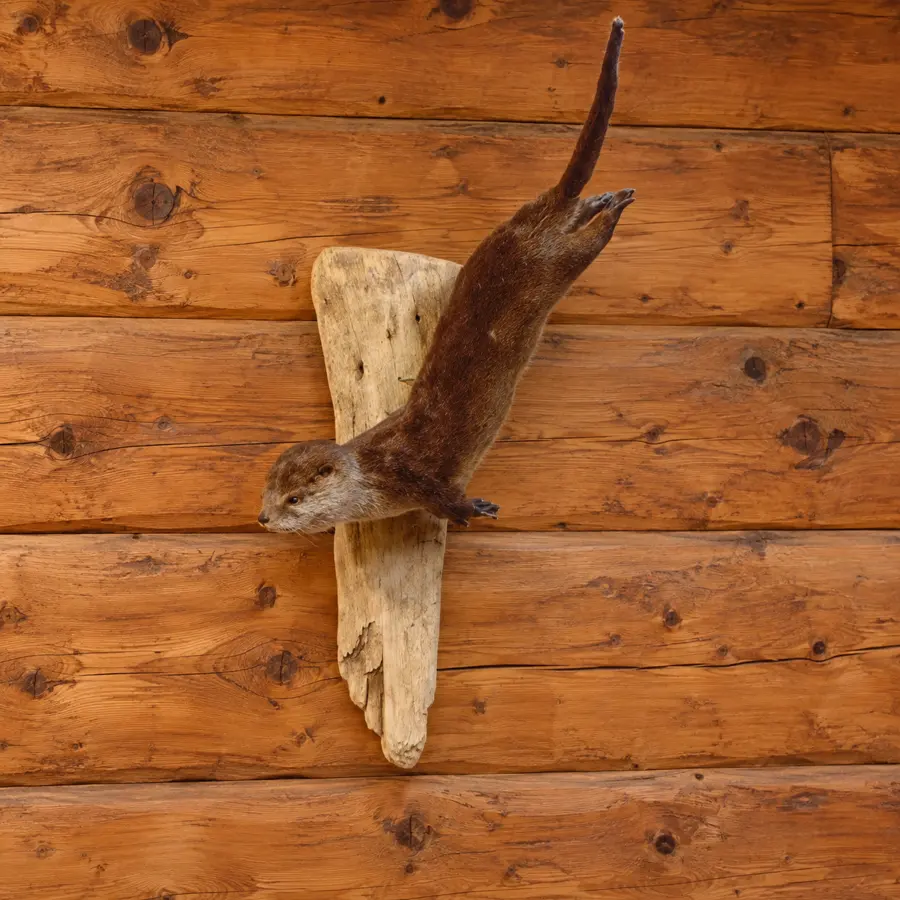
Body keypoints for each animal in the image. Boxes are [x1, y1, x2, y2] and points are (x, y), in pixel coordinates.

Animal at [259, 17, 633, 534]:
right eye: (267, 493)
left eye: (293, 499)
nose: (263, 518)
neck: (373, 478)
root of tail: (531, 228)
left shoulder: (416, 480)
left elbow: (448, 500)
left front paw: (477, 509)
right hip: (528, 221)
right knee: (573, 206)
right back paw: (601, 198)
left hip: (559, 260)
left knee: (591, 241)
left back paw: (617, 205)